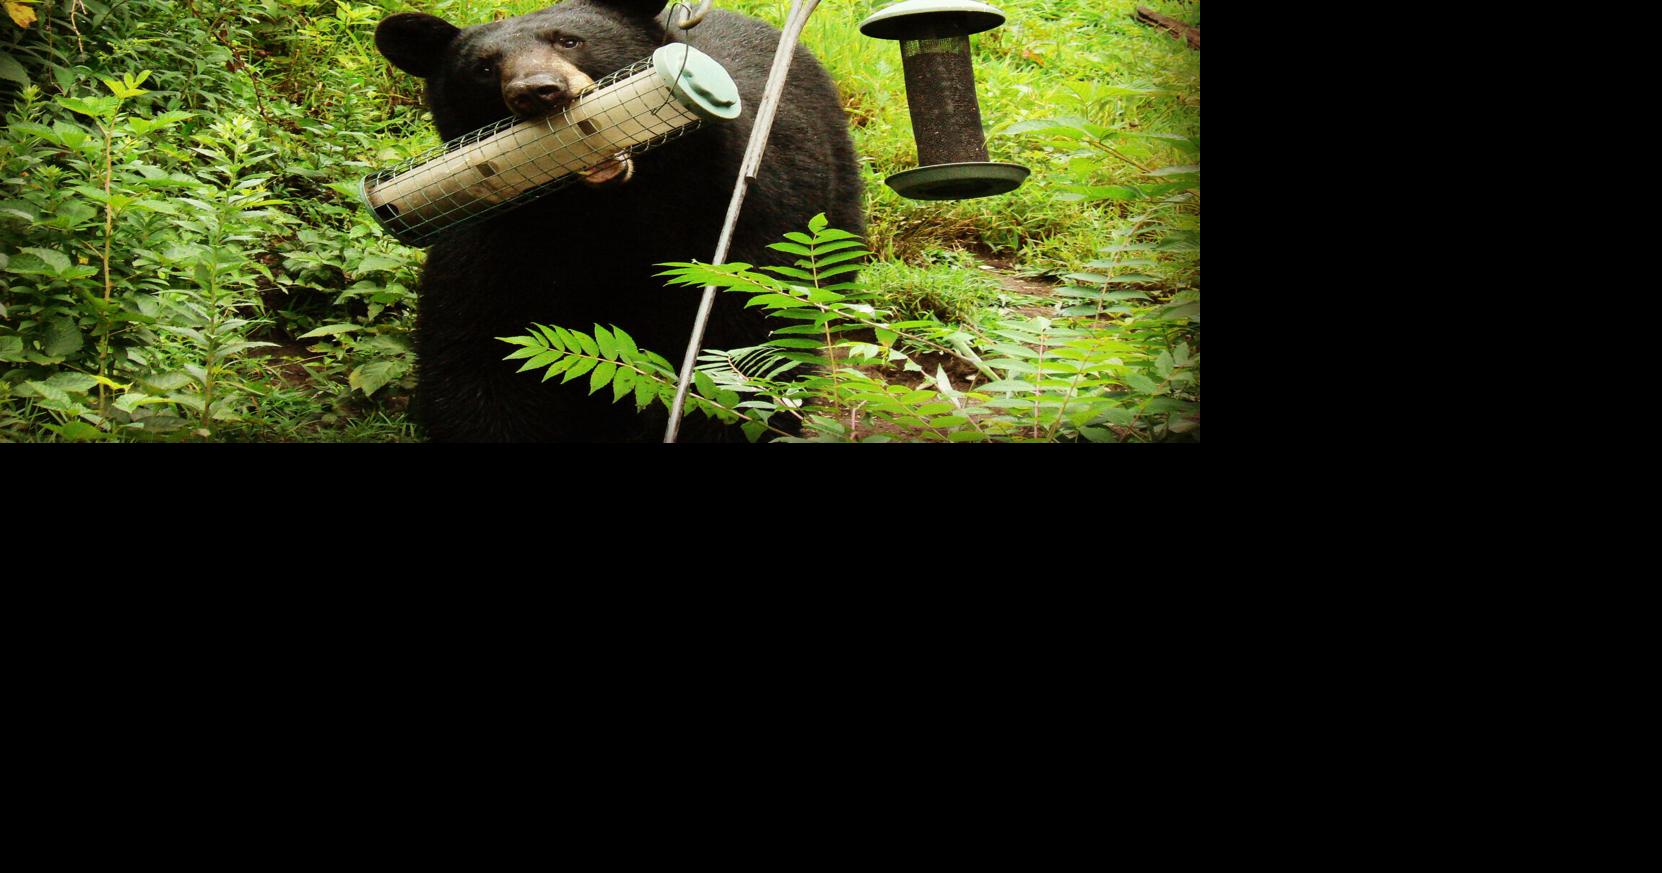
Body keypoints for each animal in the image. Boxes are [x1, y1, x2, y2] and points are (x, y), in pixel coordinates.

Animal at [373, 0, 865, 441]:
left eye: (570, 41)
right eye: (485, 67)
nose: (537, 91)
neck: (608, 211)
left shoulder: (730, 208)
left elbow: (738, 338)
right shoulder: (494, 238)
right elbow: (481, 354)